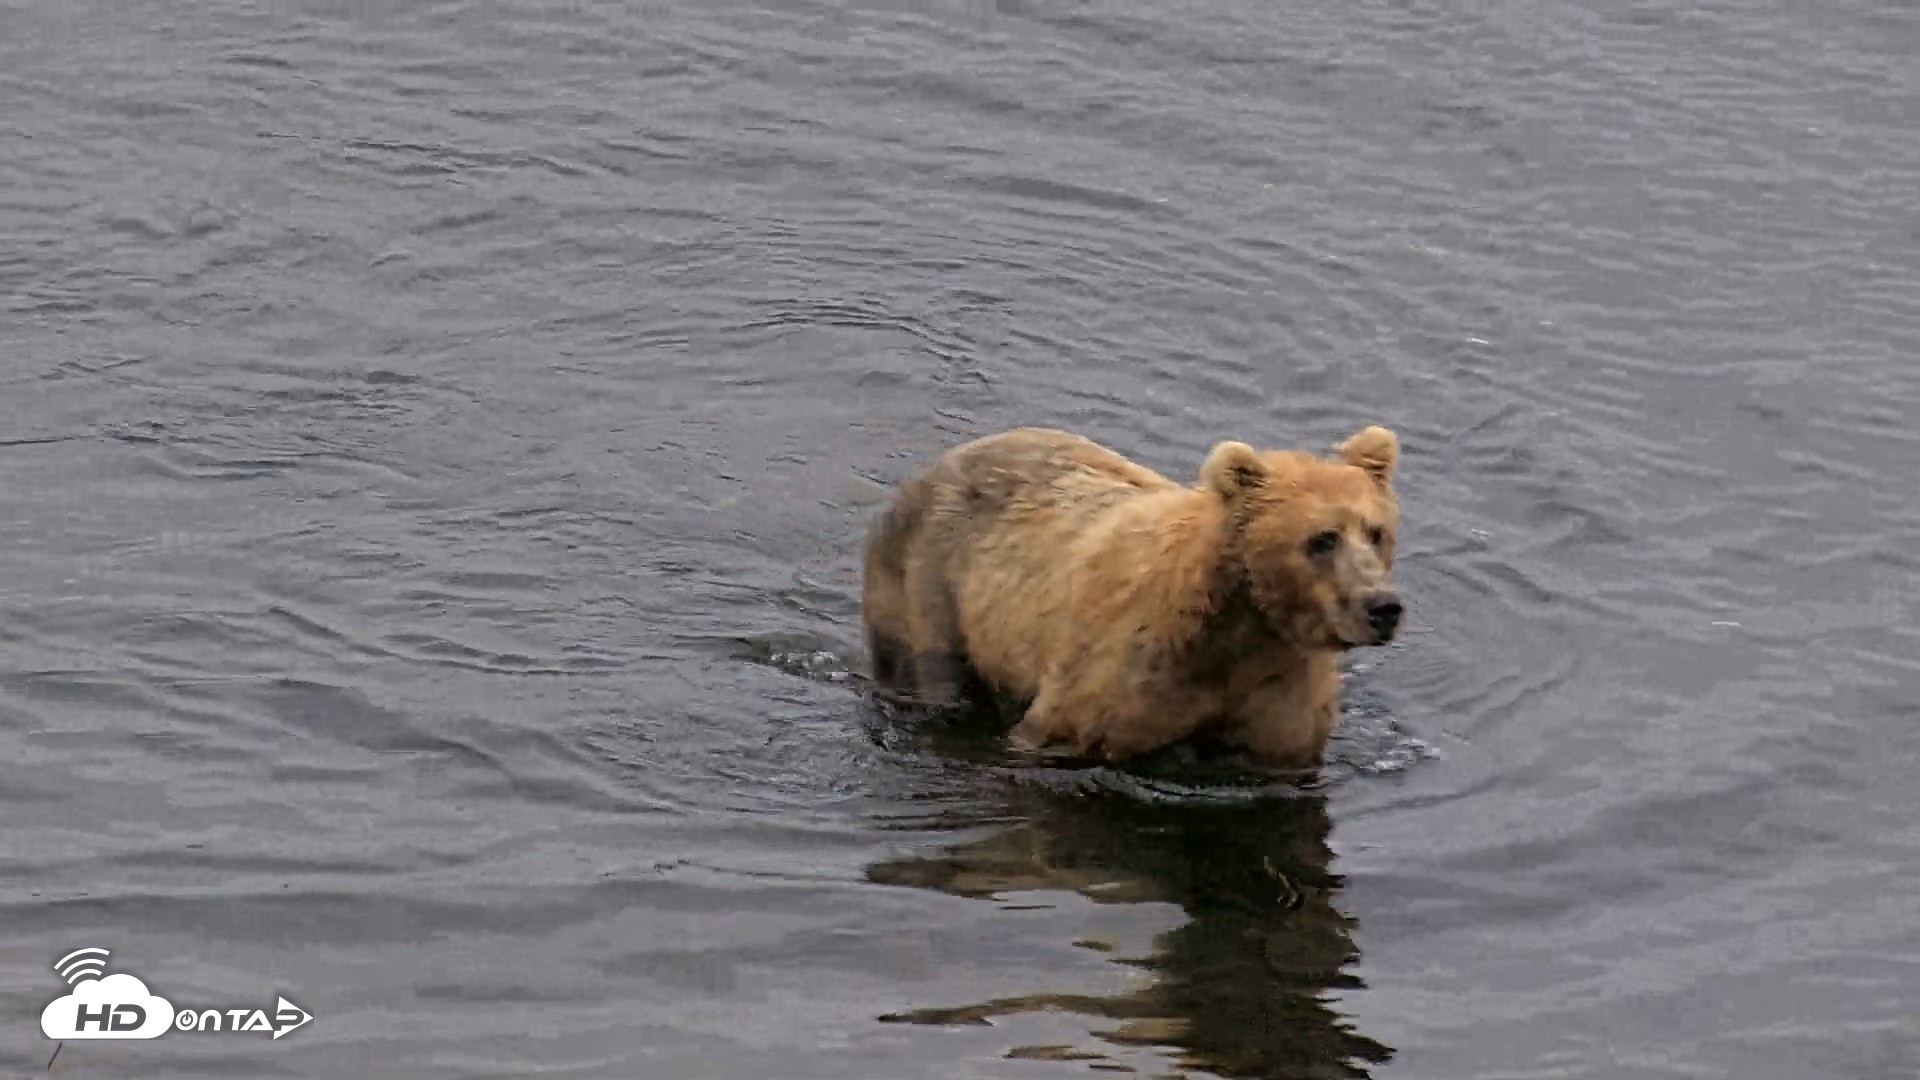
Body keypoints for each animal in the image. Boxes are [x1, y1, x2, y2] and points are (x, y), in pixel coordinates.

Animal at [861, 425, 1403, 768]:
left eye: (1375, 532)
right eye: (1322, 539)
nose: (1383, 607)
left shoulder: (1276, 692)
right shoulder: (1119, 676)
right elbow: (1059, 729)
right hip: (930, 586)